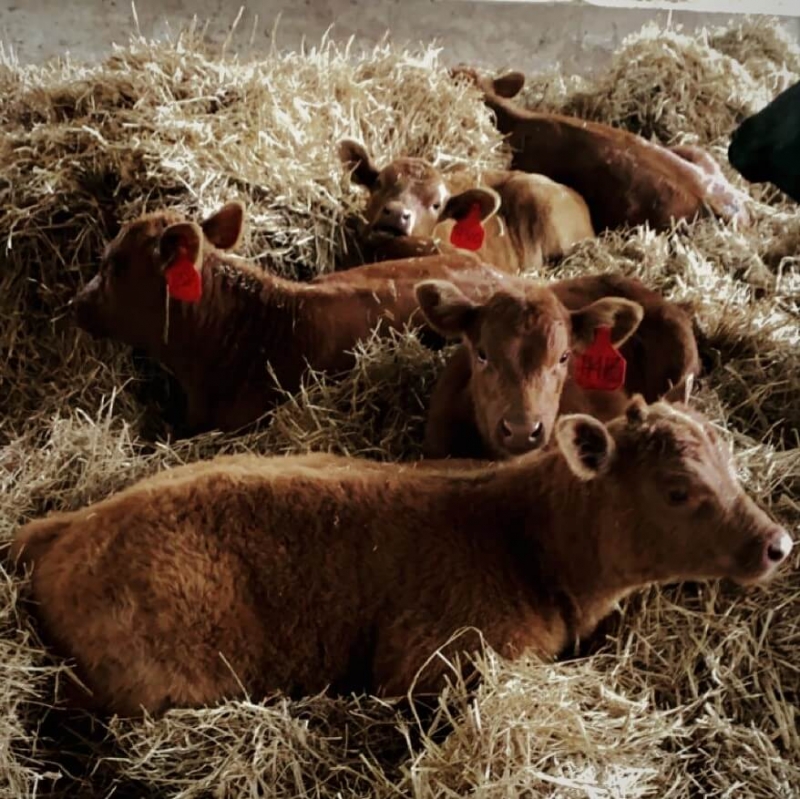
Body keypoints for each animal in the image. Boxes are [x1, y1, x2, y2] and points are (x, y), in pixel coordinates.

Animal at [14, 396, 792, 716]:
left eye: (730, 462)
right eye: (677, 489)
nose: (778, 542)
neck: (521, 535)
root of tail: (69, 526)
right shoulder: (432, 662)